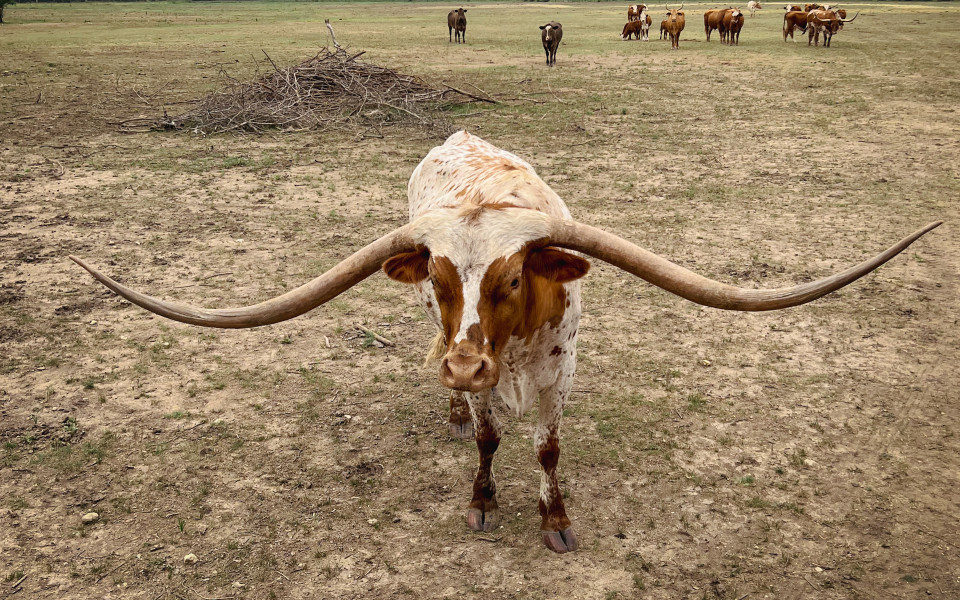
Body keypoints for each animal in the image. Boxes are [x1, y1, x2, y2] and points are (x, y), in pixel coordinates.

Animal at [71, 130, 940, 552]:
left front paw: (555, 519)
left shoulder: (562, 375)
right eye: (440, 275)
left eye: (516, 278)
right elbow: (492, 440)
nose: (462, 363)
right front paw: (483, 498)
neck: (512, 351)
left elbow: (548, 451)